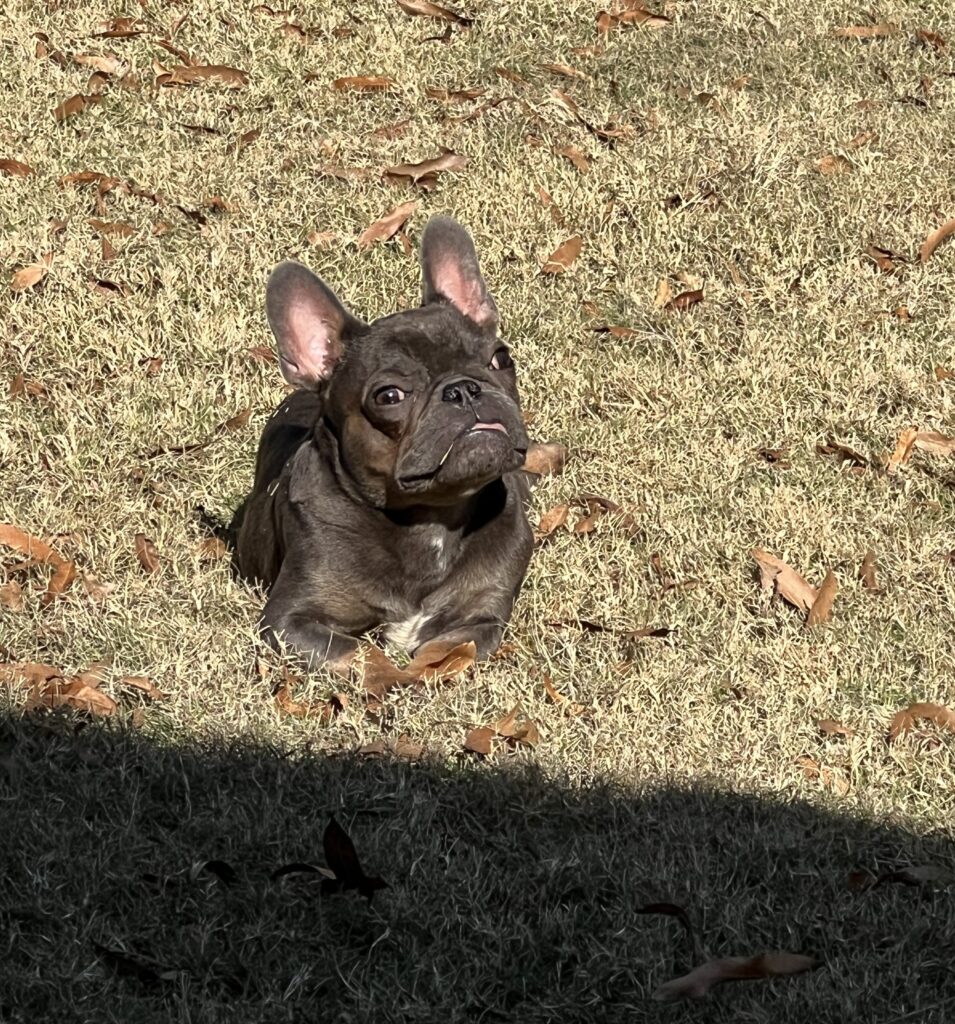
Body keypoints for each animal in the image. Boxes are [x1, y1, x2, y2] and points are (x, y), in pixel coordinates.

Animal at [231, 217, 534, 672]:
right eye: (389, 396)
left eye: (501, 358)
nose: (463, 389)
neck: (430, 518)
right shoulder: (290, 620)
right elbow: (364, 656)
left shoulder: (479, 621)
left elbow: (439, 655)